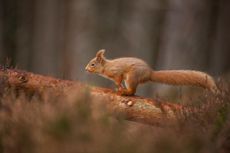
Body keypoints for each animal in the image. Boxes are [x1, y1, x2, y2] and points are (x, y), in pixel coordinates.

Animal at [86, 49, 217, 95]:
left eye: (92, 64)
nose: (85, 69)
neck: (106, 67)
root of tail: (150, 73)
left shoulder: (117, 72)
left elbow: (118, 79)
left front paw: (119, 87)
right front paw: (118, 87)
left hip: (132, 76)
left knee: (133, 91)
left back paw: (125, 92)